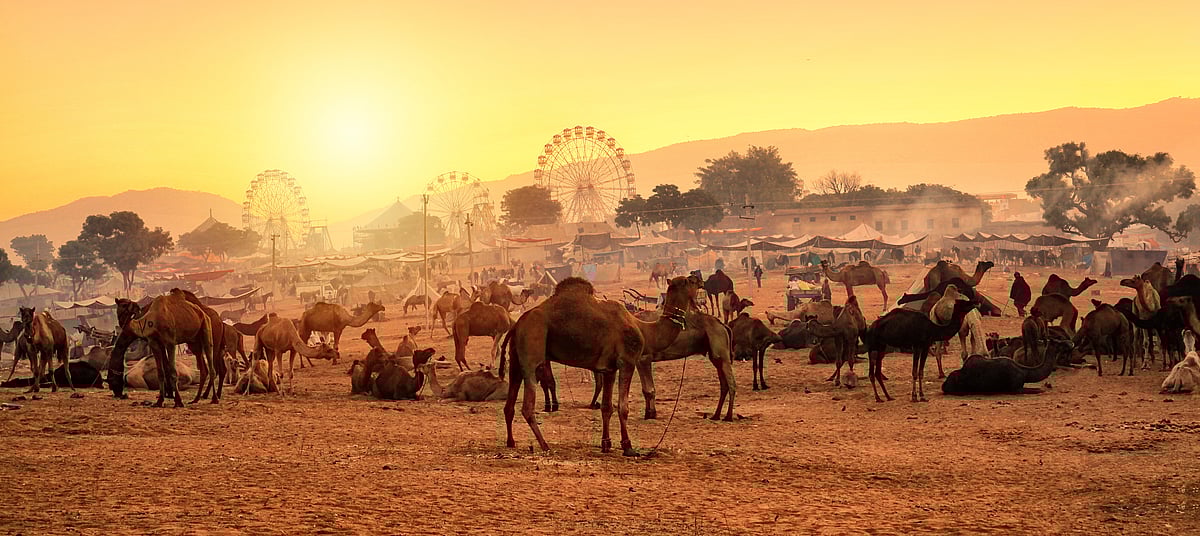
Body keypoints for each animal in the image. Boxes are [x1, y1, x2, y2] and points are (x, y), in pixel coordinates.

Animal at [501, 277, 648, 456]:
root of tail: (517, 325)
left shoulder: (610, 368)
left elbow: (607, 407)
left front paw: (606, 444)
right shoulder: (627, 361)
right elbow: (623, 407)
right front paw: (628, 447)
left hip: (515, 359)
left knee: (509, 404)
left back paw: (511, 442)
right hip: (531, 346)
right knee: (527, 406)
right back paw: (545, 445)